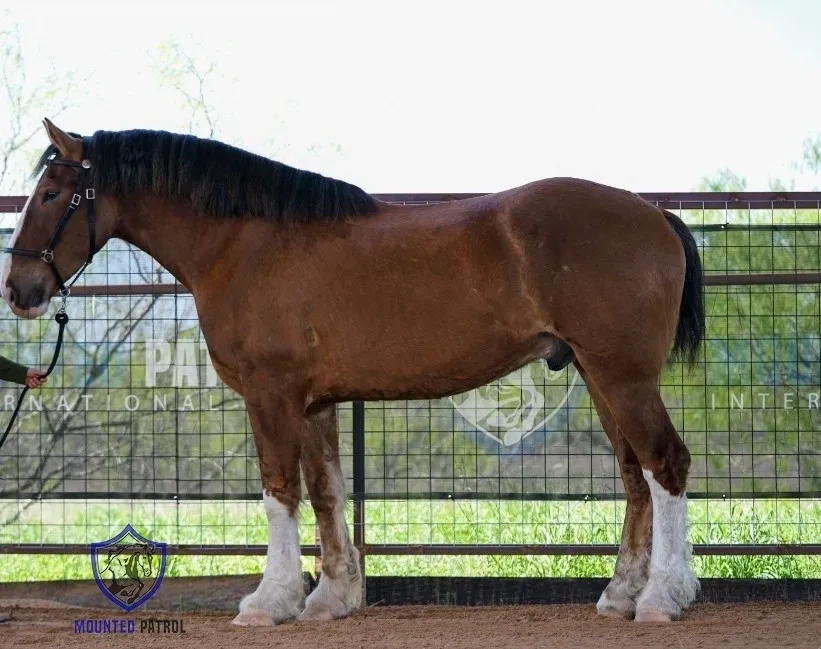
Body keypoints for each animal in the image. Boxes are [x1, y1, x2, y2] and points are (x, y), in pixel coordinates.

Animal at [1, 118, 704, 625]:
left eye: (53, 193)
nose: (19, 290)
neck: (245, 244)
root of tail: (654, 214)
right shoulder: (314, 402)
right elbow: (326, 492)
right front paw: (329, 599)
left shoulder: (271, 395)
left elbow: (279, 490)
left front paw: (270, 602)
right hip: (598, 375)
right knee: (636, 476)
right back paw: (621, 595)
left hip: (623, 377)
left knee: (665, 464)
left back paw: (662, 599)